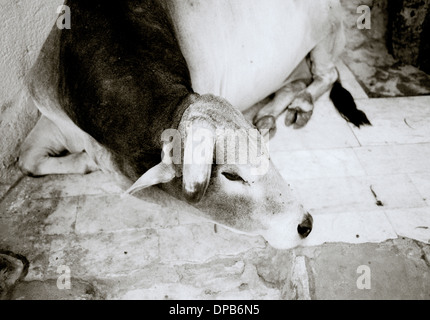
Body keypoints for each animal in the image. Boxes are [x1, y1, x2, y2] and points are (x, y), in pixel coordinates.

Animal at [17, 0, 370, 250]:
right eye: (231, 175)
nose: (305, 224)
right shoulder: (53, 117)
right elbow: (27, 159)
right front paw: (86, 162)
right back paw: (270, 112)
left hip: (326, 34)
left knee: (328, 75)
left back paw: (300, 104)